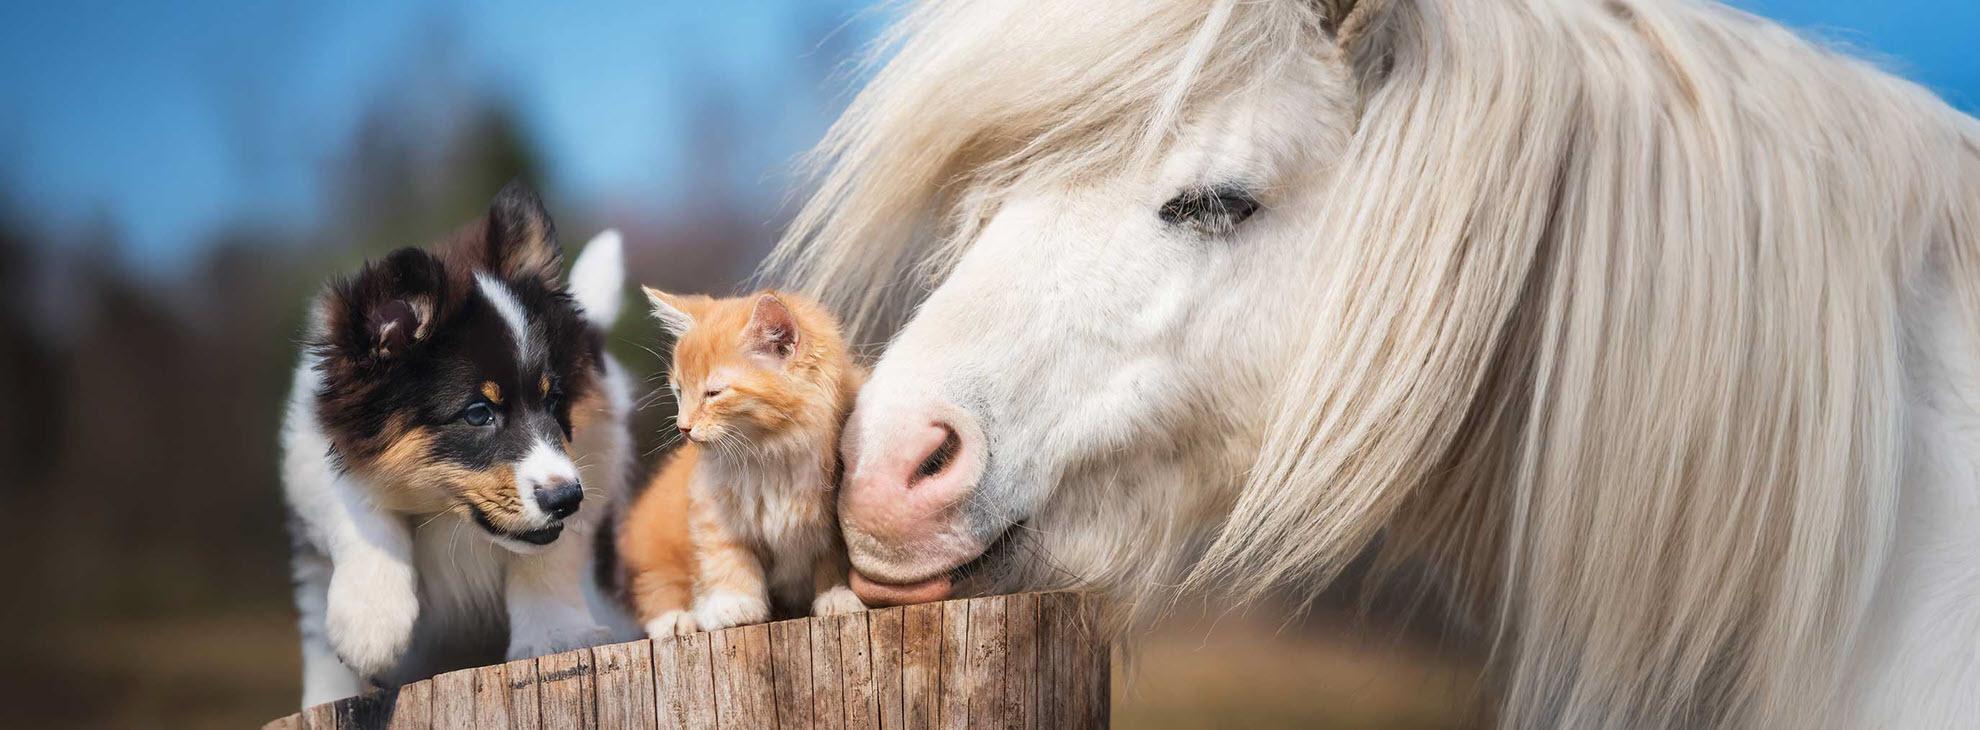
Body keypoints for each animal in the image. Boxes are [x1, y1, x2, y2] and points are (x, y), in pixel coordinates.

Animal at [279, 182, 629, 704]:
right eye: (478, 413)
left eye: (555, 399)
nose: (566, 498)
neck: (449, 518)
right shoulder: (311, 451)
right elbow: (358, 508)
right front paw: (371, 624)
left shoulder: (594, 449)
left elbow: (552, 555)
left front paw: (558, 636)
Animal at [617, 286, 867, 633]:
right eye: (679, 392)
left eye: (713, 393)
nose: (683, 427)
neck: (770, 453)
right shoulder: (709, 502)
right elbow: (725, 551)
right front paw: (733, 602)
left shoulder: (835, 513)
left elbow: (833, 555)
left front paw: (836, 594)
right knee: (657, 582)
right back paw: (674, 619)